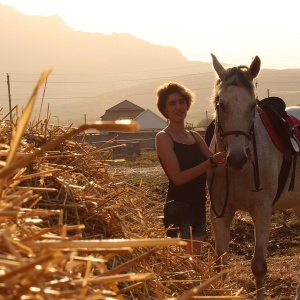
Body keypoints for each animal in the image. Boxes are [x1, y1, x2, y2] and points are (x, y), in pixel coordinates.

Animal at [209, 54, 300, 300]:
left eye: (252, 106)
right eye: (220, 104)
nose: (237, 158)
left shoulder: (262, 210)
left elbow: (259, 266)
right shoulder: (219, 213)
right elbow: (220, 265)